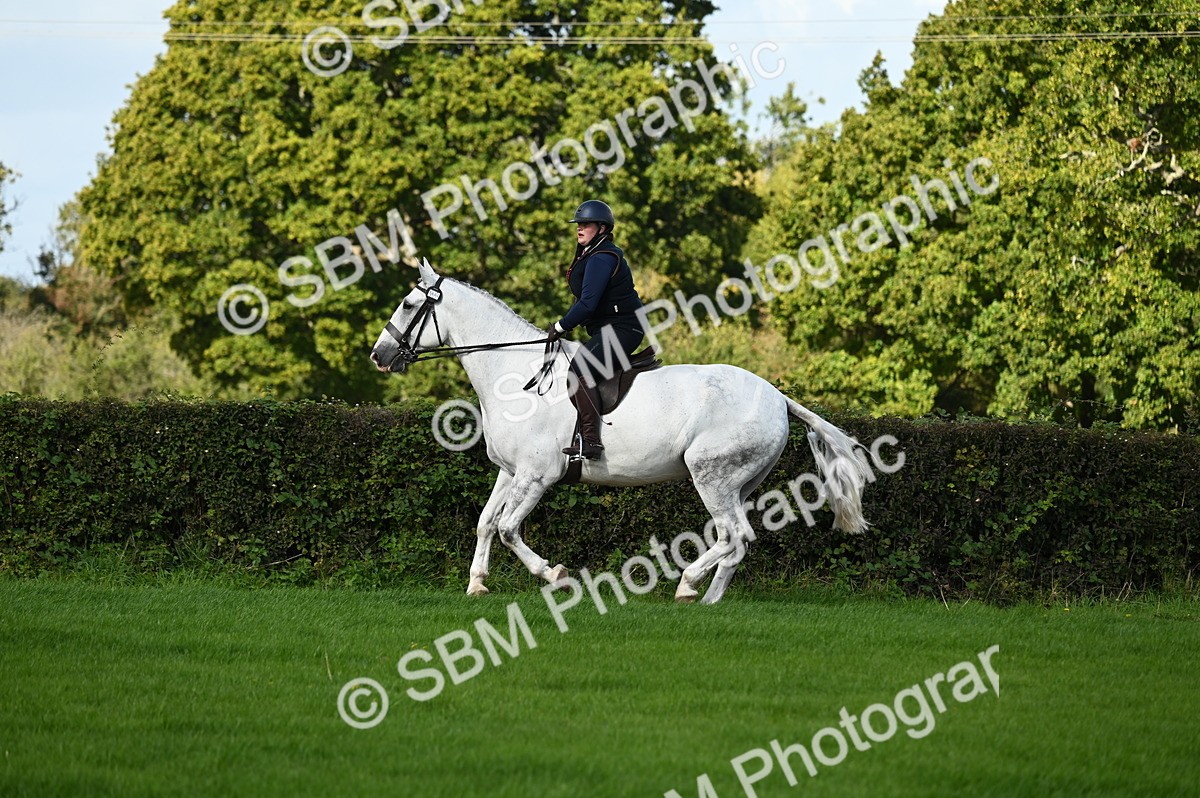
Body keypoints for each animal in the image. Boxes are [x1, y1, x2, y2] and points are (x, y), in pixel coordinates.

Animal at [370, 260, 871, 604]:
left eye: (409, 305)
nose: (379, 355)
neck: (513, 373)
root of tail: (777, 396)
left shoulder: (537, 475)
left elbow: (510, 529)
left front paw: (555, 575)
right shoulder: (510, 472)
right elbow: (486, 522)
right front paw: (476, 583)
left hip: (710, 474)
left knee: (735, 536)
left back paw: (687, 584)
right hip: (739, 482)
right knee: (737, 542)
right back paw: (708, 599)